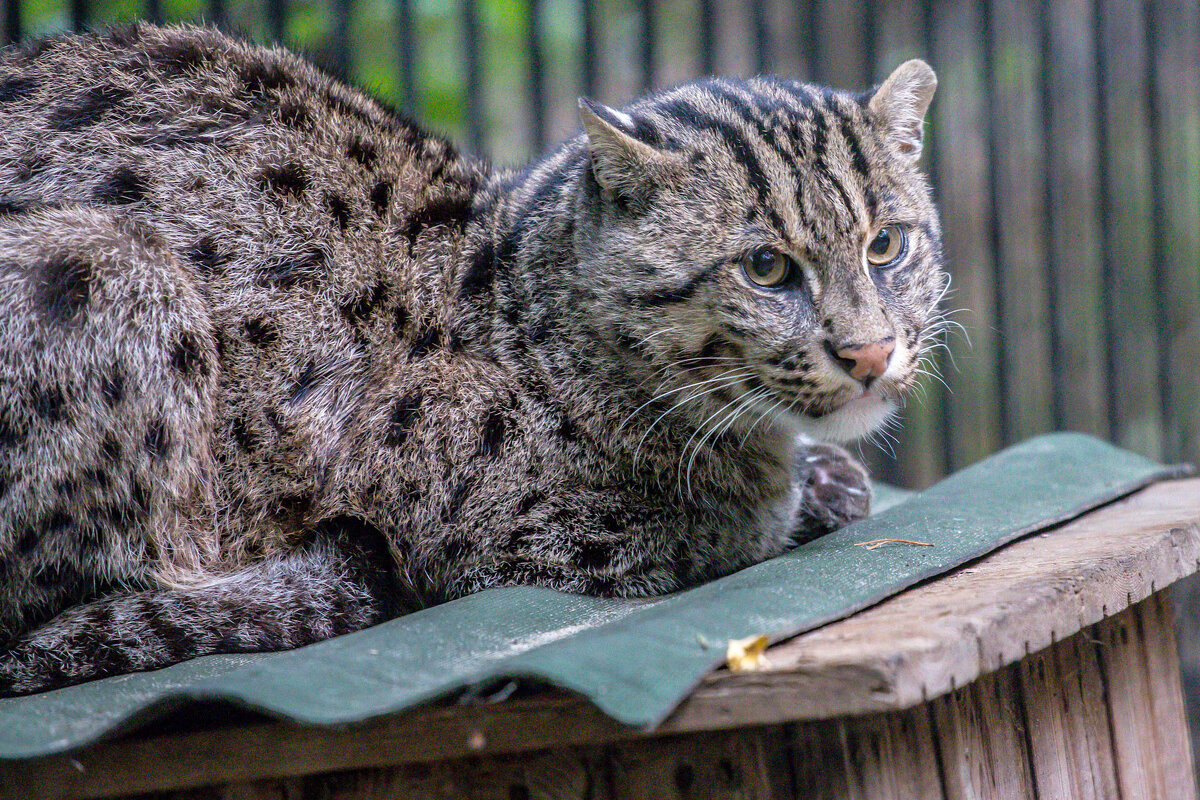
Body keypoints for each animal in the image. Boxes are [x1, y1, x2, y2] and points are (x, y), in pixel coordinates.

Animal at [0, 25, 940, 695]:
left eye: (886, 246)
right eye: (766, 268)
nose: (870, 351)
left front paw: (820, 478)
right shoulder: (483, 525)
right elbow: (718, 529)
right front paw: (786, 498)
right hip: (105, 266)